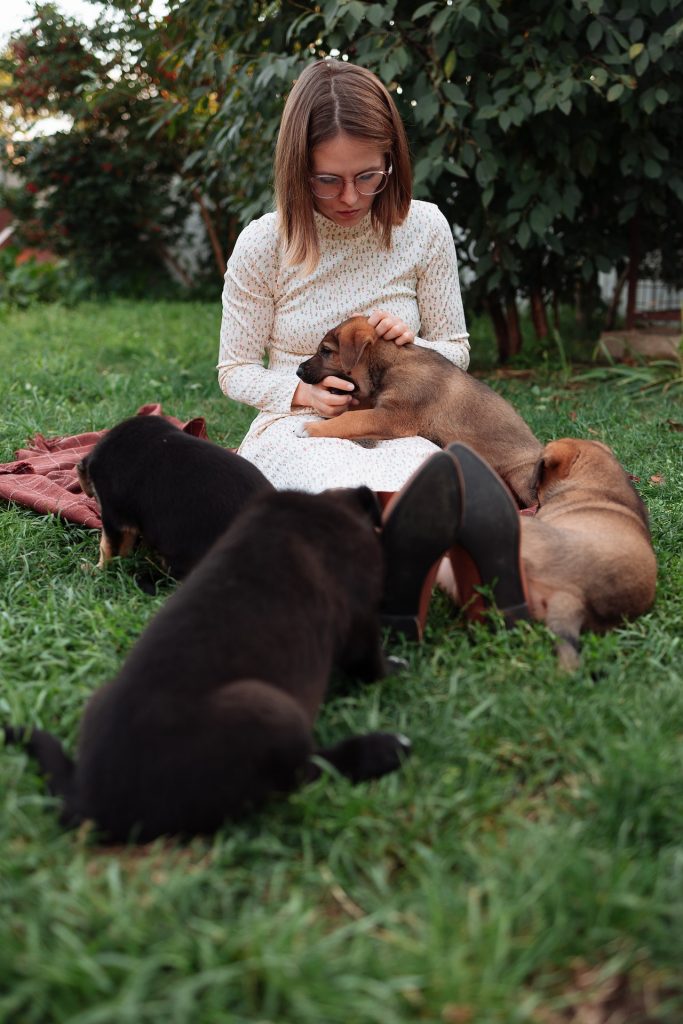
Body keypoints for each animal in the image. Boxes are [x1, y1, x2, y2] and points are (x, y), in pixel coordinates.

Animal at [3, 485, 411, 839]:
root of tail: (88, 800)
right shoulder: (360, 617)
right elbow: (370, 664)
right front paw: (394, 667)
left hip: (102, 696)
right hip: (271, 709)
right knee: (305, 773)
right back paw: (383, 749)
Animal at [296, 311, 540, 503]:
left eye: (326, 351)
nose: (298, 371)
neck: (391, 362)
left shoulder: (392, 416)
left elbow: (352, 419)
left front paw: (310, 428)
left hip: (523, 477)